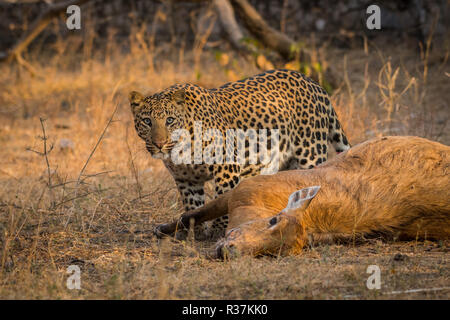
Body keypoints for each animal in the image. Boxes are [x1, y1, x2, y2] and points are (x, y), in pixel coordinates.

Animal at [128, 69, 350, 239]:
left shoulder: (226, 167)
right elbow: (192, 205)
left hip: (309, 155)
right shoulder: (186, 180)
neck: (180, 148)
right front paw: (195, 230)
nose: (158, 143)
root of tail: (314, 83)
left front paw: (218, 229)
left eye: (170, 120)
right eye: (147, 121)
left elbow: (222, 199)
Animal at [156, 136, 450, 258]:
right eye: (272, 220)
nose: (230, 251)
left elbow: (192, 215)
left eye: (273, 252)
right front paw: (161, 229)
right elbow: (192, 214)